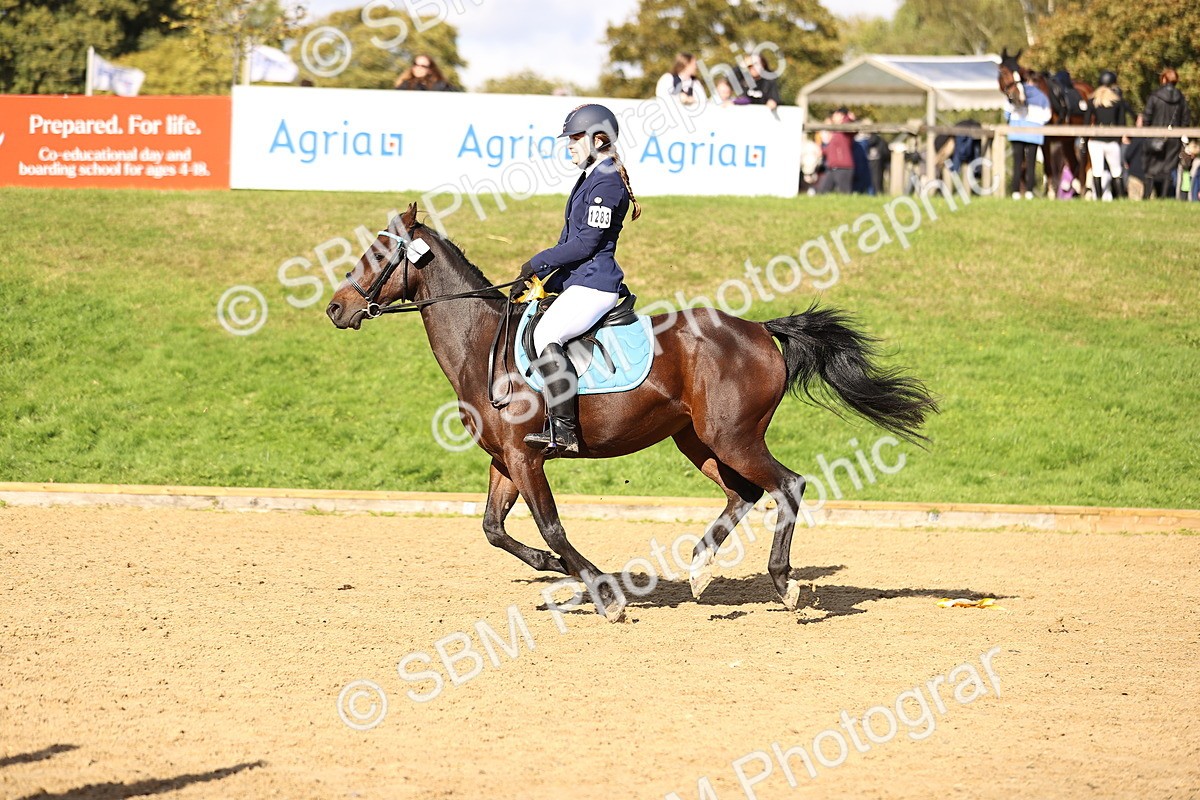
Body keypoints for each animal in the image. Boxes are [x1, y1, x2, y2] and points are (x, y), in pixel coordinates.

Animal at [325, 203, 937, 622]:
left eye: (377, 256)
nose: (336, 308)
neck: (482, 345)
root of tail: (761, 330)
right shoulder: (504, 460)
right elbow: (494, 529)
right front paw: (556, 571)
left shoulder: (527, 458)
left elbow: (550, 525)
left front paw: (603, 594)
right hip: (698, 441)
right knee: (744, 492)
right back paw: (698, 572)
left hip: (732, 436)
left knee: (787, 484)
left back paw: (782, 583)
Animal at [998, 48, 1093, 198]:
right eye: (1003, 71)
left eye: (1018, 73)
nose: (1017, 97)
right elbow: (1024, 165)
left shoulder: (1045, 140)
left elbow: (1048, 169)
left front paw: (1049, 194)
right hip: (1067, 141)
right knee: (1075, 165)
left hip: (1086, 137)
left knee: (1087, 164)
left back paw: (1086, 193)